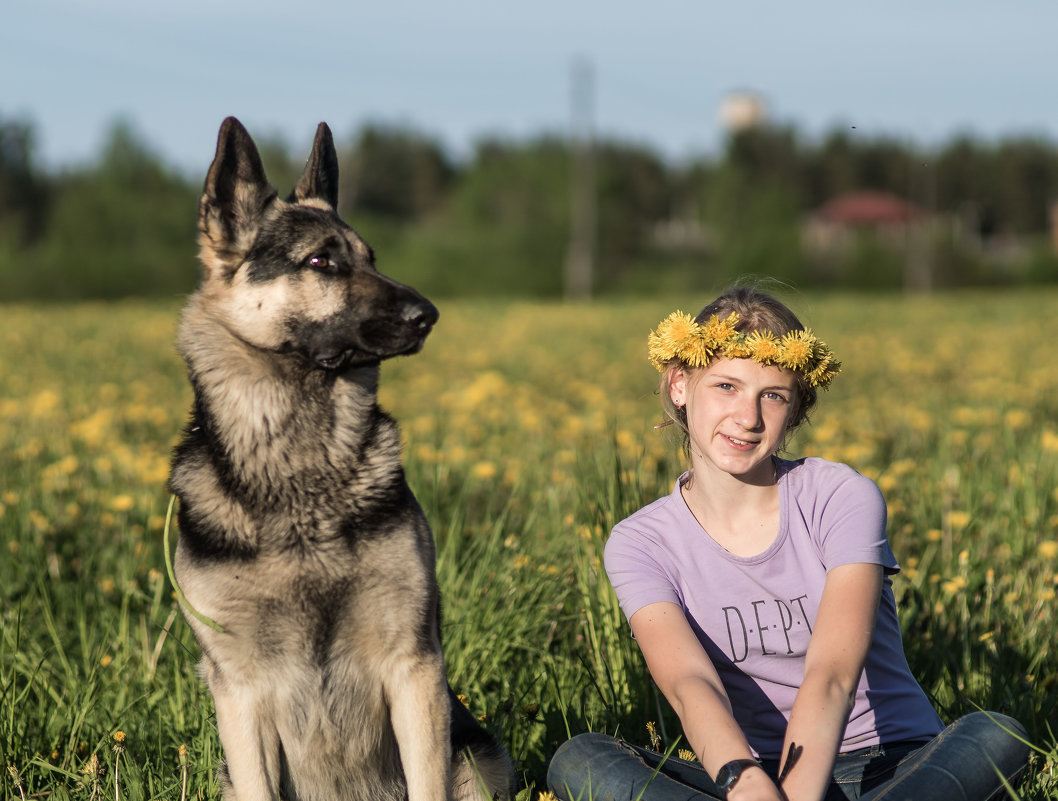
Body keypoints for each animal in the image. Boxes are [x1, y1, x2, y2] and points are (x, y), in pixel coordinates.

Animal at [169, 115, 516, 799]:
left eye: (371, 259)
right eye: (320, 261)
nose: (428, 315)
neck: (302, 476)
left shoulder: (414, 667)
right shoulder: (239, 694)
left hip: (478, 760)